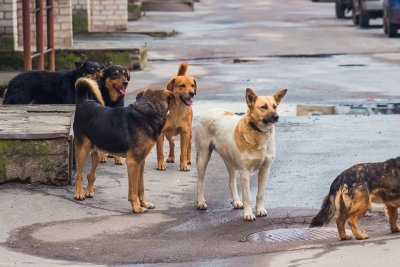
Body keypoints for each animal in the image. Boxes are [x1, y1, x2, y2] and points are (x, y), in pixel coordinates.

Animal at [72, 77, 173, 214]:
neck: (148, 111)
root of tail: (83, 101)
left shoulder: (140, 162)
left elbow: (140, 187)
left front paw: (144, 204)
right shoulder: (133, 162)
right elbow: (134, 190)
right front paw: (136, 208)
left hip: (96, 151)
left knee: (90, 174)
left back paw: (89, 192)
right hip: (83, 148)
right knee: (79, 174)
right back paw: (78, 193)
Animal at [195, 88, 286, 222]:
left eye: (275, 106)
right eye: (263, 107)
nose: (276, 116)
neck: (258, 132)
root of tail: (208, 110)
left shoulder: (265, 169)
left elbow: (260, 194)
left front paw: (260, 210)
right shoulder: (245, 172)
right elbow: (247, 196)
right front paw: (248, 214)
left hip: (230, 162)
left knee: (231, 182)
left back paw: (236, 201)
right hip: (203, 156)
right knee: (200, 181)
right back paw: (201, 202)